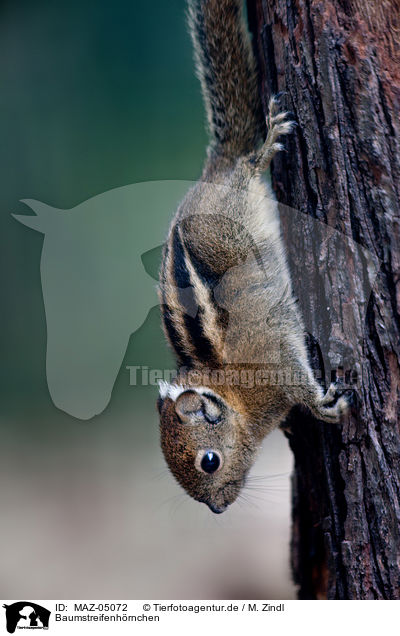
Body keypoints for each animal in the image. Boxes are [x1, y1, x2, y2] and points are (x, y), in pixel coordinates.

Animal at [156, 0, 346, 512]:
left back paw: (264, 147)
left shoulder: (276, 357)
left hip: (228, 215)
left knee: (246, 168)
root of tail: (213, 166)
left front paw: (320, 406)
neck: (234, 393)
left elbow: (299, 378)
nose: (218, 509)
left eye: (208, 462)